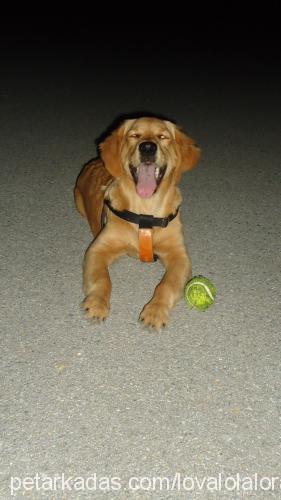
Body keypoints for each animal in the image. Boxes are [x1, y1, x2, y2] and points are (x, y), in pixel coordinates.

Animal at [74, 115, 199, 330]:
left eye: (163, 137)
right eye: (134, 135)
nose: (147, 147)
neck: (145, 211)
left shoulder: (180, 256)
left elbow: (166, 285)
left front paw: (155, 312)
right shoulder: (97, 249)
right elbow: (102, 279)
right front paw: (97, 304)